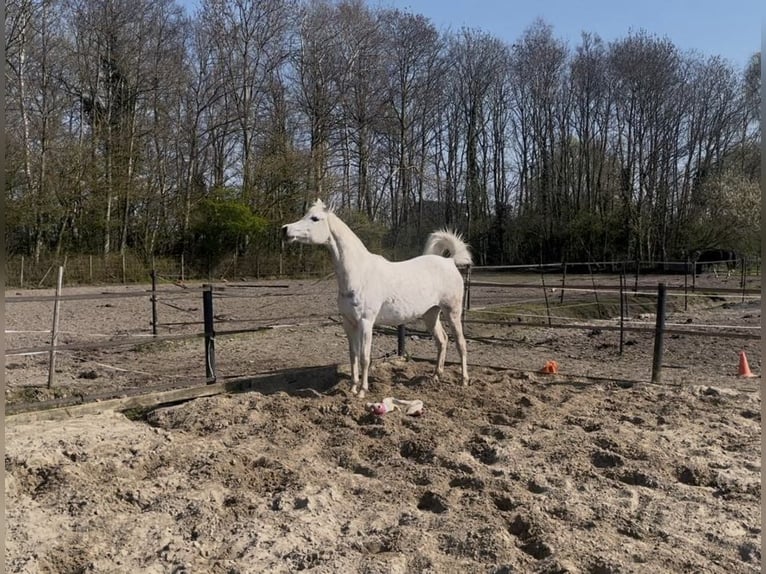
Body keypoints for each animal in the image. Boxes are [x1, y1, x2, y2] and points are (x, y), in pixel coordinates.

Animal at [282, 199, 472, 399]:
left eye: (315, 218)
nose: (284, 230)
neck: (359, 274)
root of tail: (449, 262)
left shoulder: (366, 322)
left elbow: (365, 357)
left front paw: (362, 391)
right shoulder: (348, 323)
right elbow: (353, 355)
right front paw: (352, 388)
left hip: (453, 312)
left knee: (460, 343)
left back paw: (464, 380)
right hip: (431, 314)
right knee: (442, 340)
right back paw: (435, 376)